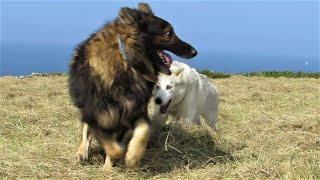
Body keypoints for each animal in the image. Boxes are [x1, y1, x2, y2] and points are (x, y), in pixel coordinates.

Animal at [69, 3, 196, 169]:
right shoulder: (99, 114)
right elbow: (112, 145)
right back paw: (81, 152)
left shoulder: (134, 110)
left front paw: (131, 157)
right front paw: (113, 160)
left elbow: (144, 130)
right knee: (86, 129)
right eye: (168, 33)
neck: (129, 63)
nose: (194, 52)